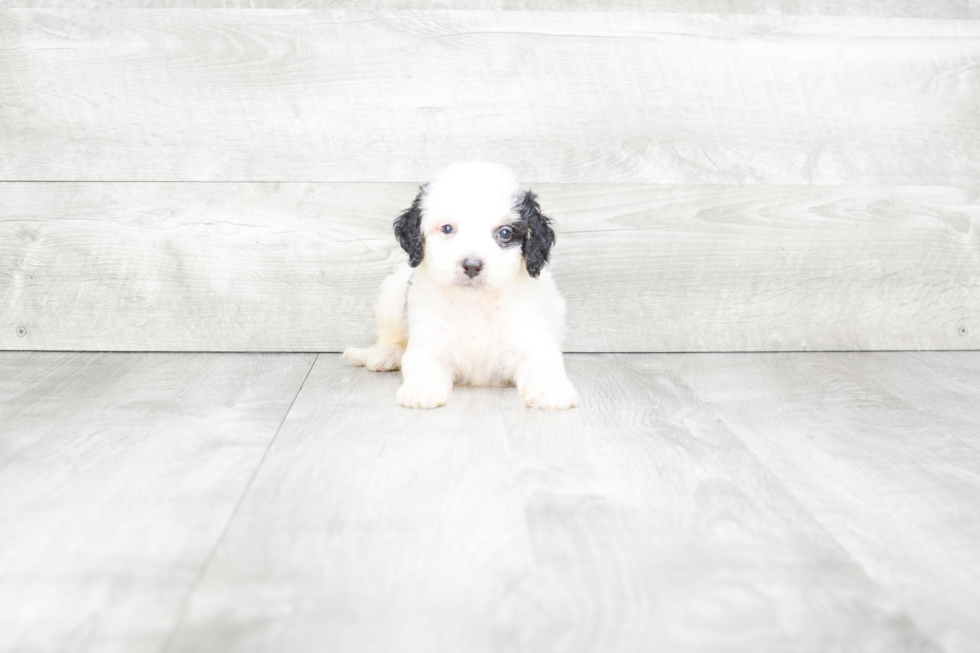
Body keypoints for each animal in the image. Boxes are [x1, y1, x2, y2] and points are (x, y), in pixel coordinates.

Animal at [344, 160, 580, 410]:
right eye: (447, 228)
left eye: (505, 233)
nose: (472, 265)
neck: (474, 302)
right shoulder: (428, 342)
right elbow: (421, 362)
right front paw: (421, 389)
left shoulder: (531, 336)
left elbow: (544, 362)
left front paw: (551, 390)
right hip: (392, 296)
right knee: (389, 335)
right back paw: (386, 355)